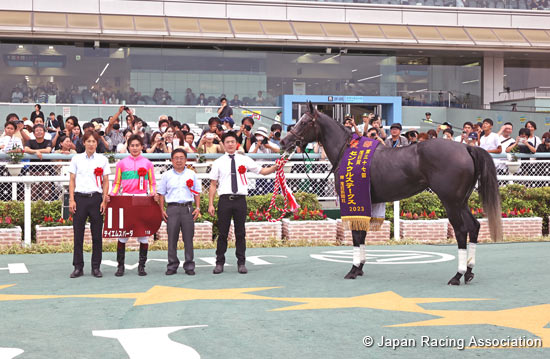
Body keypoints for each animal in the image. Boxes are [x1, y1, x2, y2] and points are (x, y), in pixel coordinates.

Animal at [282, 102, 502, 286]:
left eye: (305, 122)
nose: (285, 141)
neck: (346, 150)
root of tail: (466, 147)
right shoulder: (367, 202)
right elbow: (362, 233)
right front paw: (360, 267)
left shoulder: (354, 201)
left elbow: (356, 234)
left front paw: (353, 270)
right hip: (462, 201)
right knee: (474, 226)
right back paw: (469, 272)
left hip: (451, 202)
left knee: (461, 231)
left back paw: (457, 275)